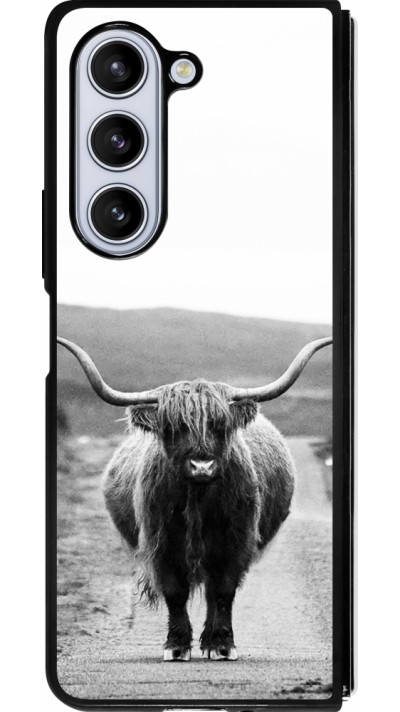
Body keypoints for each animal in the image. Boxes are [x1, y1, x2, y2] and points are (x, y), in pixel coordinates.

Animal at [57, 335, 332, 662]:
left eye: (220, 425)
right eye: (174, 427)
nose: (202, 466)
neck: (198, 500)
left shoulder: (237, 541)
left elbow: (224, 591)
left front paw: (222, 645)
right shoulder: (161, 543)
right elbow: (175, 592)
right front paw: (176, 646)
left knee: (214, 592)